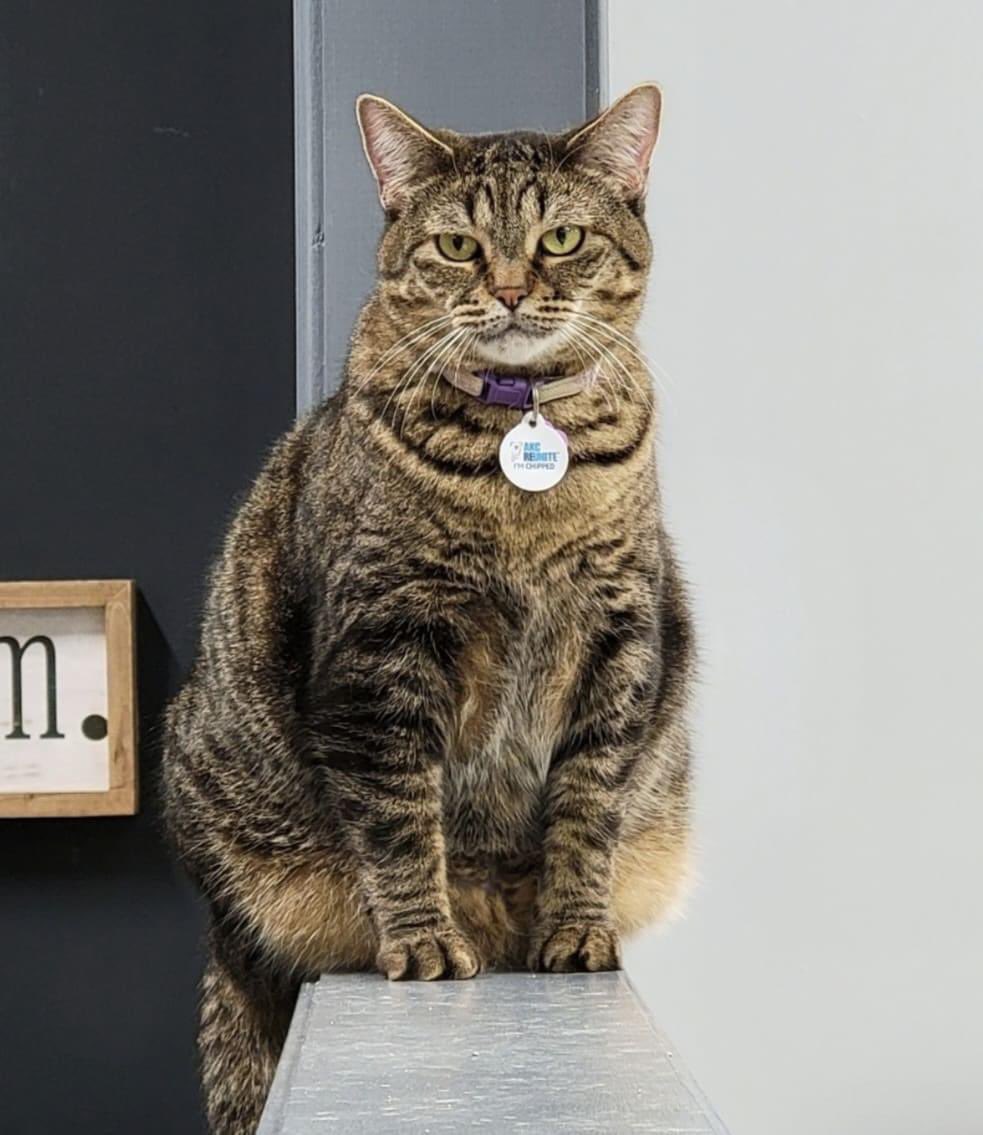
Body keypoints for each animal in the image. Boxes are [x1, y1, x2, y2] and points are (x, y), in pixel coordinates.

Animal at [162, 83, 690, 1130]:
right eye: (457, 246)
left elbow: (587, 806)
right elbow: (399, 816)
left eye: (561, 238)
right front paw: (424, 940)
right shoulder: (384, 646)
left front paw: (574, 928)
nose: (515, 289)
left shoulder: (621, 635)